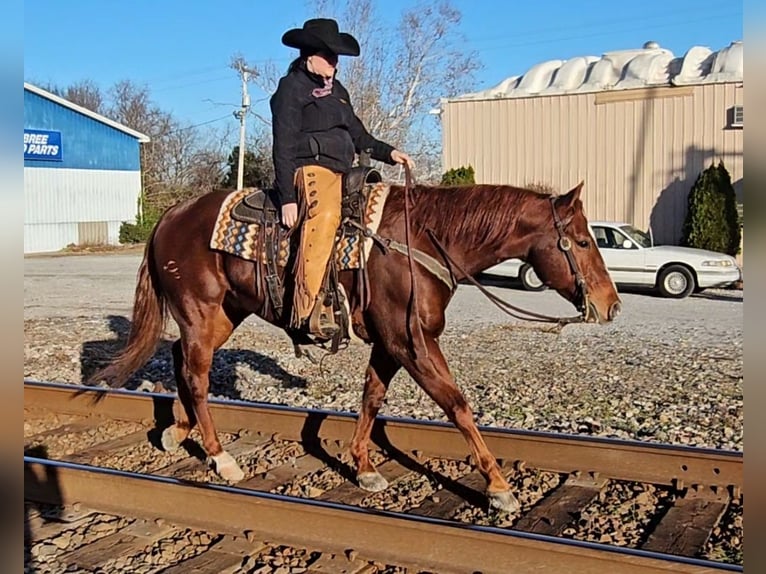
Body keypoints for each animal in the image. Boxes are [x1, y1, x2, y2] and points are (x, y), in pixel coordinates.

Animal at [91, 179, 624, 512]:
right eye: (581, 241)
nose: (612, 305)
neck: (422, 241)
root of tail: (169, 216)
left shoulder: (390, 345)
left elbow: (371, 397)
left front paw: (364, 467)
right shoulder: (413, 343)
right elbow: (457, 405)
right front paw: (499, 486)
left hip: (223, 313)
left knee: (182, 362)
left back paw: (177, 431)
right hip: (201, 312)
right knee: (197, 376)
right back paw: (222, 458)